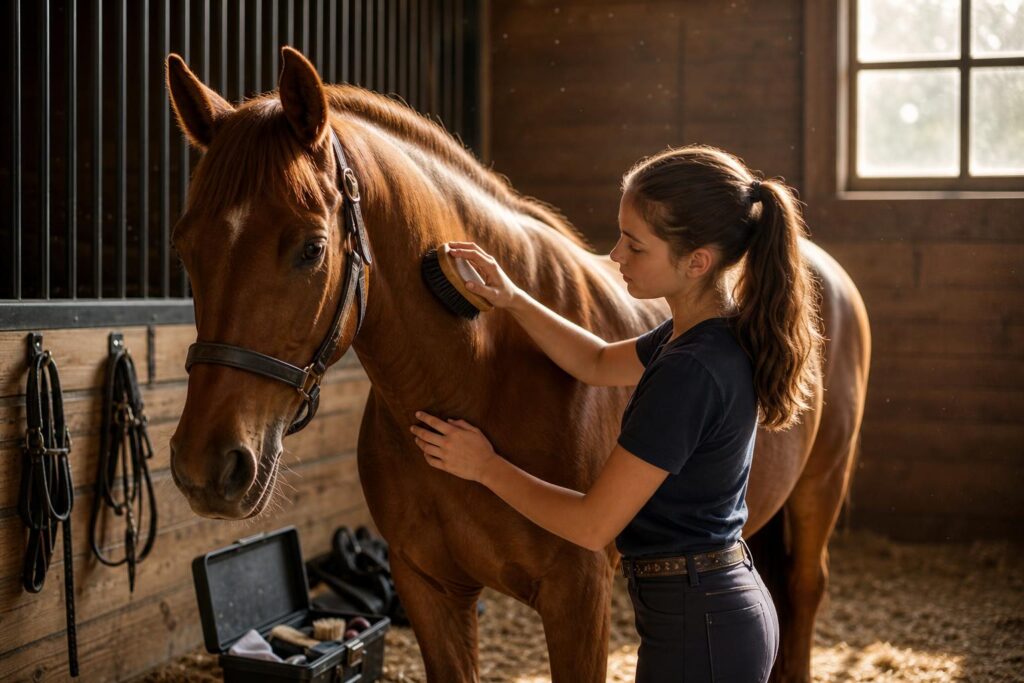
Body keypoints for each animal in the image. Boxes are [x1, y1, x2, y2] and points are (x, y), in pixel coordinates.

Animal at [166, 46, 870, 683]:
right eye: (186, 248)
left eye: (311, 249)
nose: (208, 467)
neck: (475, 378)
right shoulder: (429, 590)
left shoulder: (578, 600)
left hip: (821, 492)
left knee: (802, 592)